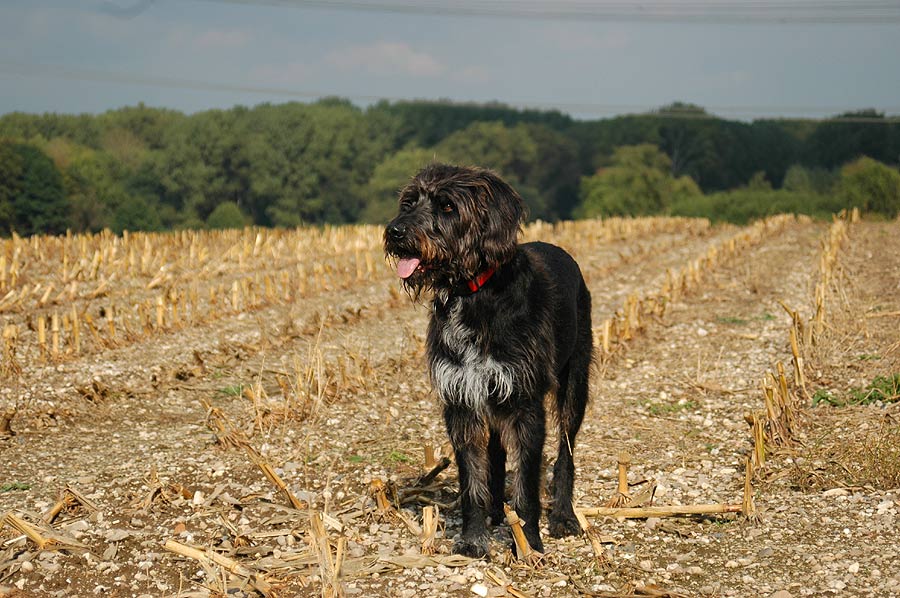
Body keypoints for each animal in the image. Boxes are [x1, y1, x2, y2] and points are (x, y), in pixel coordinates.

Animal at [384, 163, 596, 556]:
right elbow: (472, 480)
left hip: (575, 386)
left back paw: (563, 515)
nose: (395, 231)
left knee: (566, 451)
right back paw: (497, 512)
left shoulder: (526, 404)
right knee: (496, 455)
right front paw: (473, 538)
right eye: (409, 202)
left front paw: (529, 544)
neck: (472, 293)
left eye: (447, 206)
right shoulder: (461, 400)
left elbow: (527, 484)